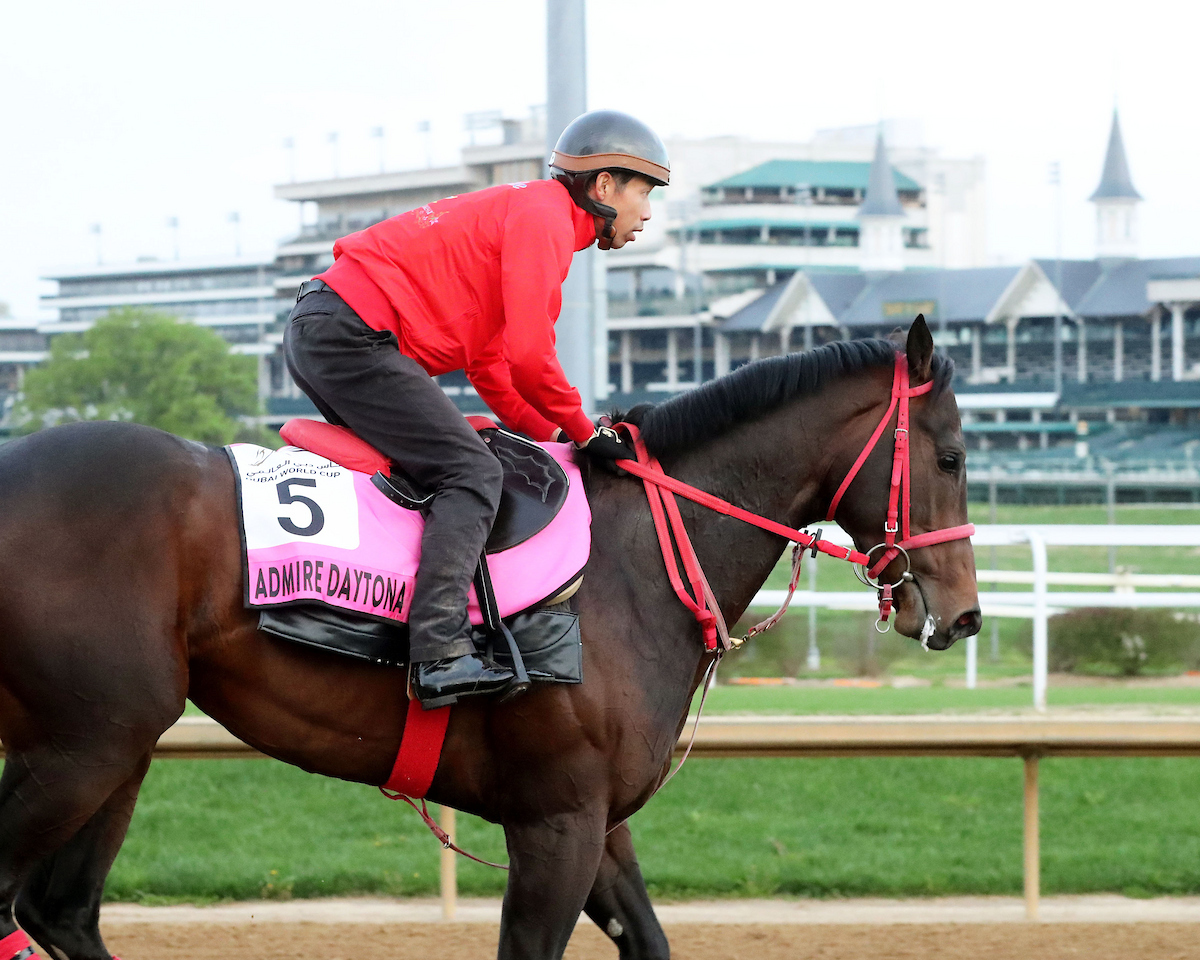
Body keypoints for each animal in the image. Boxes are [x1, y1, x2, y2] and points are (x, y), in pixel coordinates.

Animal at [0, 318, 980, 960]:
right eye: (954, 457)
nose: (964, 614)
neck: (634, 561)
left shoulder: (596, 820)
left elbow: (649, 940)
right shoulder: (554, 821)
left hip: (118, 746)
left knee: (60, 912)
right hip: (85, 745)